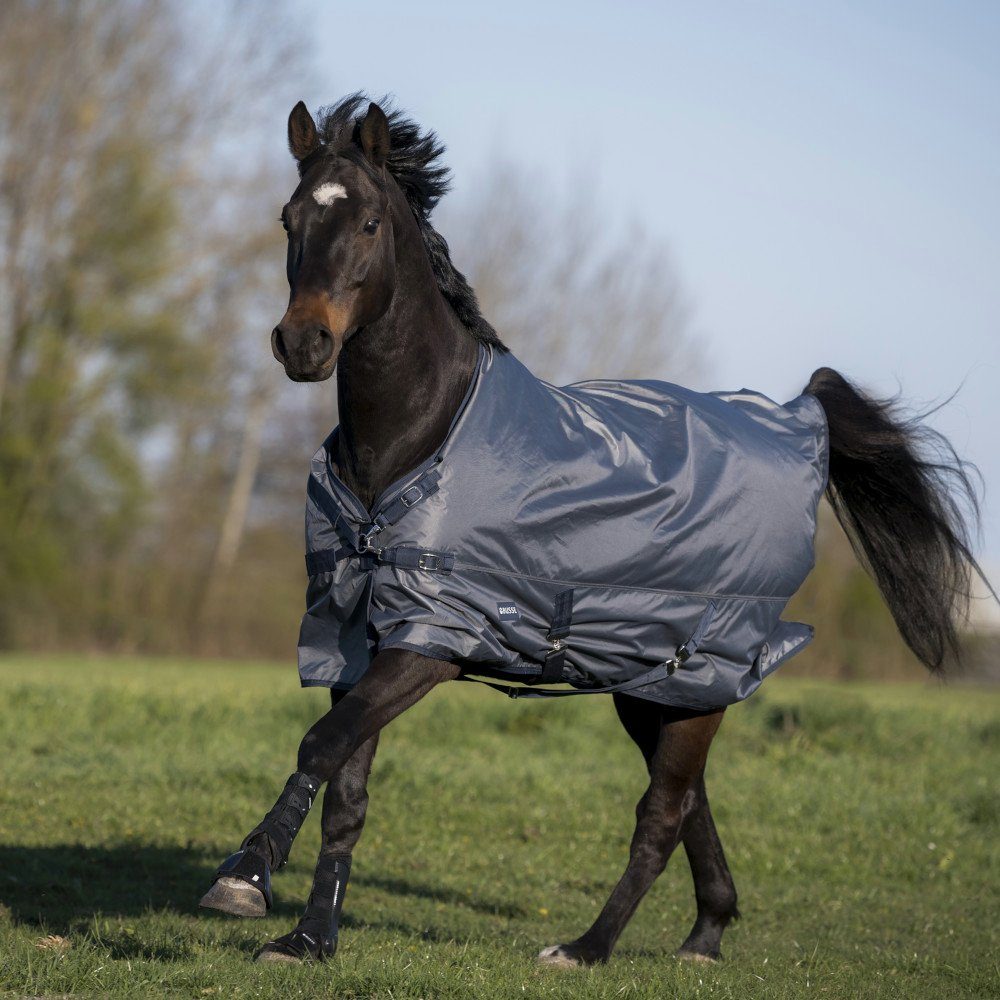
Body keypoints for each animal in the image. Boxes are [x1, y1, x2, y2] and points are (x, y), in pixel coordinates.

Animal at [198, 94, 986, 966]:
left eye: (369, 222)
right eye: (290, 217)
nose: (303, 344)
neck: (417, 440)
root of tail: (795, 417)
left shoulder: (431, 640)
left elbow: (320, 745)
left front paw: (244, 877)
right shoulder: (354, 637)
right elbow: (347, 783)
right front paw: (309, 936)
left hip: (698, 671)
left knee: (663, 813)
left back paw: (586, 947)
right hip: (654, 688)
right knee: (691, 803)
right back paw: (705, 934)